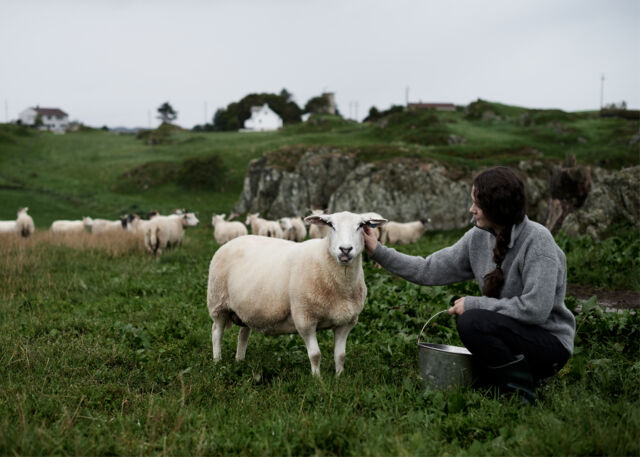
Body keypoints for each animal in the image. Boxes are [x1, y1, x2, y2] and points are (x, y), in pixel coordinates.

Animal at [206, 210, 384, 374]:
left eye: (361, 225)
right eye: (330, 225)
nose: (345, 249)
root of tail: (233, 241)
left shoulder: (346, 322)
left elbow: (340, 356)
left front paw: (339, 378)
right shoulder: (305, 318)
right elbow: (315, 355)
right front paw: (317, 380)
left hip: (246, 308)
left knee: (243, 334)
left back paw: (240, 360)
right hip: (218, 302)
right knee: (216, 332)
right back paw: (217, 361)